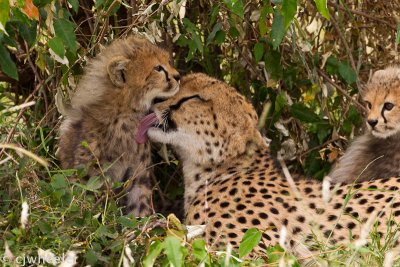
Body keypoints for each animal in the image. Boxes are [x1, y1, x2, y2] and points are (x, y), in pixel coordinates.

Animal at [57, 35, 180, 217]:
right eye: (158, 68)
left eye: (168, 62)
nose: (178, 76)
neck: (126, 114)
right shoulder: (89, 177)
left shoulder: (138, 175)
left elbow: (139, 208)